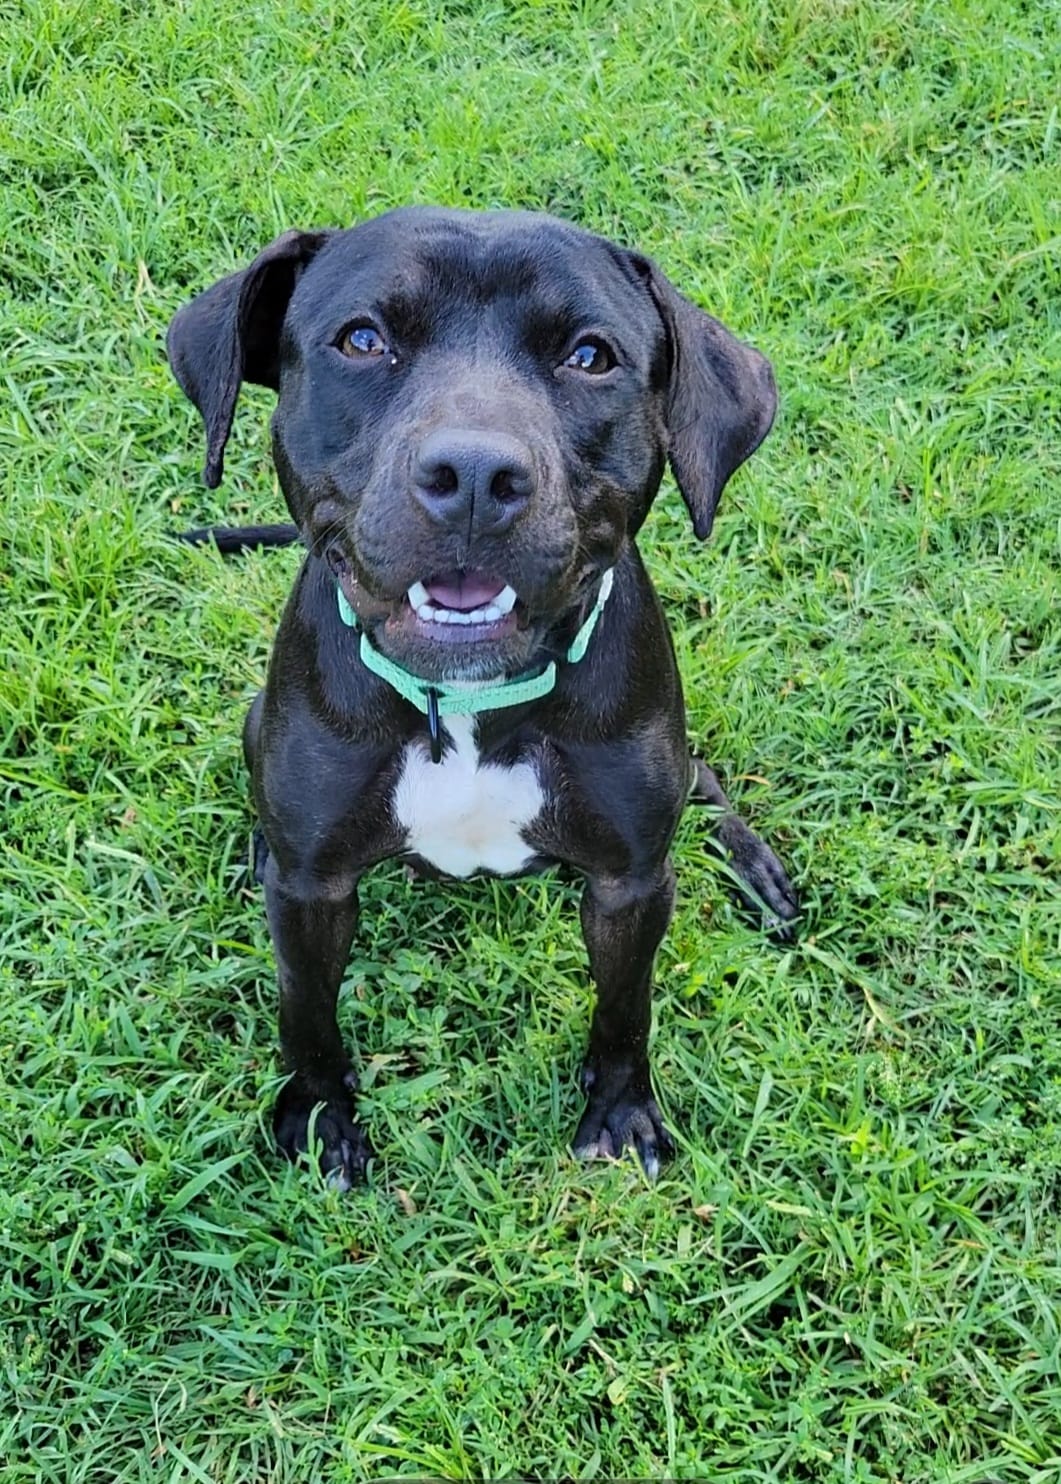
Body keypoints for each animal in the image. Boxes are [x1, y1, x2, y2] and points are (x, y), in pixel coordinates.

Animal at [168, 209, 795, 1187]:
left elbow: (626, 1010)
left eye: (589, 356)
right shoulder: (312, 896)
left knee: (705, 781)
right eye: (363, 340)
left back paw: (754, 866)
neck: (465, 705)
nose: (471, 475)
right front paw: (319, 1120)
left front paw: (620, 1113)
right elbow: (307, 1012)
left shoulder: (629, 886)